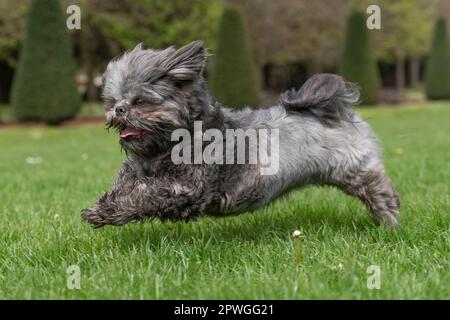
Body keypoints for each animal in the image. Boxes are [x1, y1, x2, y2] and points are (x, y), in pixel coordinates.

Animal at [82, 40, 400, 228]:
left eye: (140, 102)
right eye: (111, 101)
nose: (118, 111)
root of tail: (331, 110)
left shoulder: (189, 188)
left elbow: (146, 195)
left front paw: (107, 211)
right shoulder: (140, 172)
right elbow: (129, 185)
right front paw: (105, 204)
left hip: (353, 169)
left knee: (377, 189)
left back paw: (389, 221)